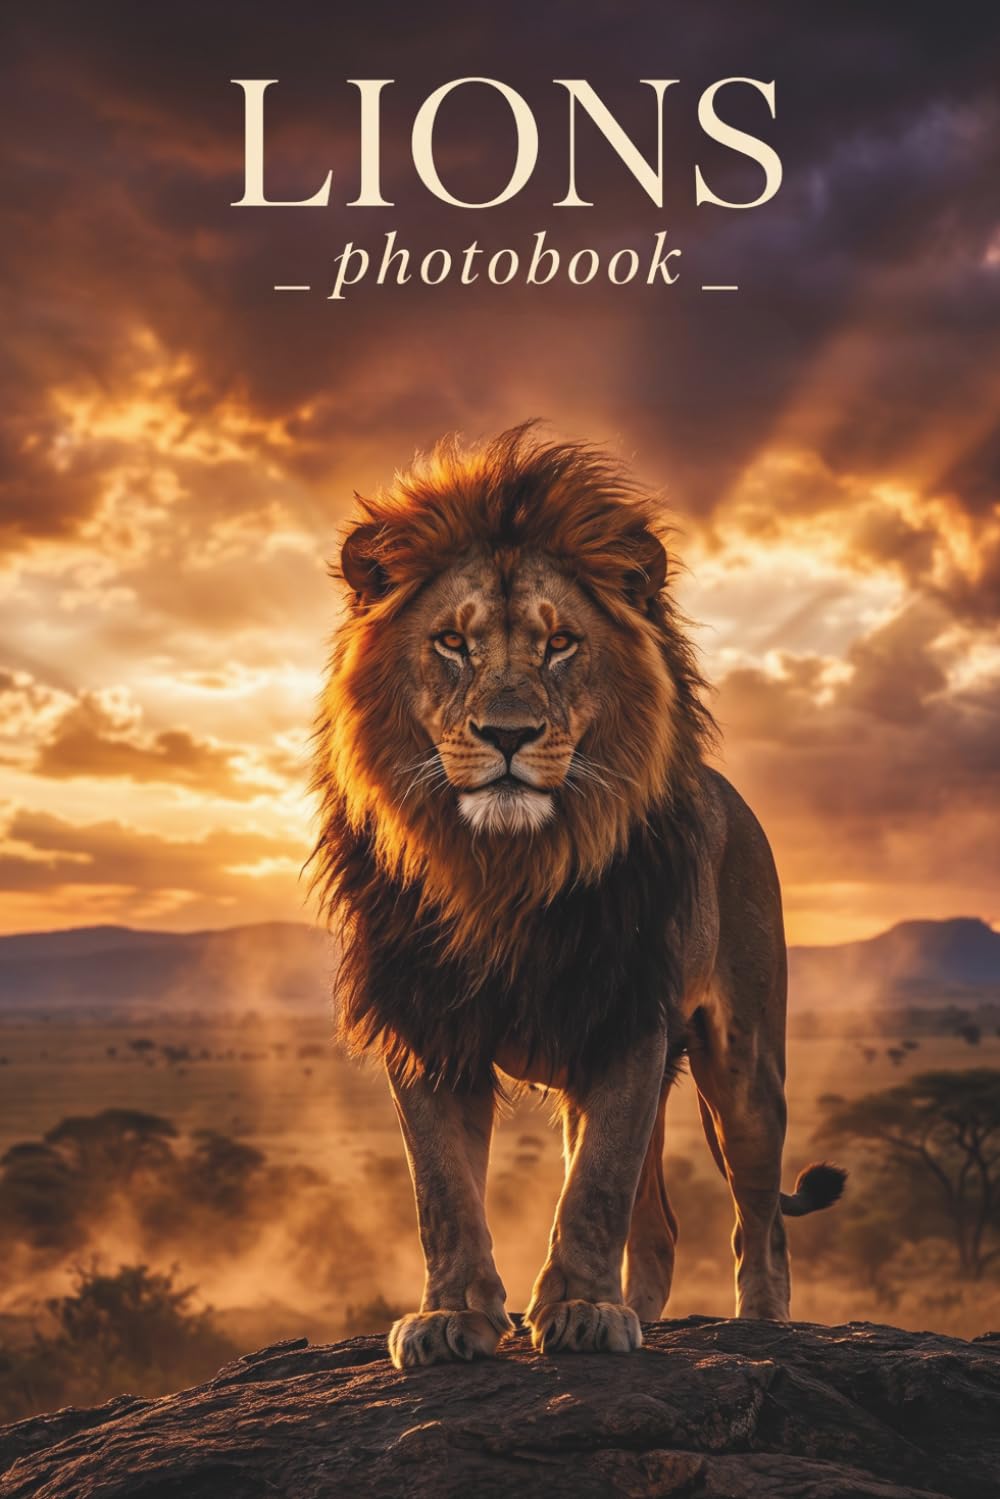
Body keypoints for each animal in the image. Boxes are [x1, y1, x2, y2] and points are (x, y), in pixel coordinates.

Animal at [312, 425, 845, 1369]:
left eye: (560, 643)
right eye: (452, 643)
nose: (509, 733)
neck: (505, 867)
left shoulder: (627, 1012)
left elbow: (594, 1187)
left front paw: (584, 1310)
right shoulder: (425, 1020)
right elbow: (441, 1189)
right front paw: (451, 1318)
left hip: (744, 1064)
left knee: (758, 1220)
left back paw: (758, 1327)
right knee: (661, 1225)